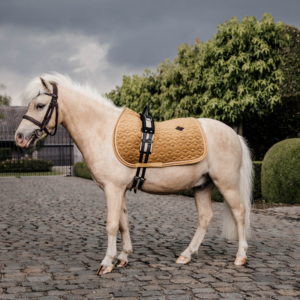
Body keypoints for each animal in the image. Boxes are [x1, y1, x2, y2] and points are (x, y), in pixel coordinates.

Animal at [15, 73, 252, 274]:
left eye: (40, 105)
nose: (19, 137)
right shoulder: (119, 189)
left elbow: (111, 225)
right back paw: (186, 255)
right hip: (202, 186)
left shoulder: (113, 189)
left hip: (226, 184)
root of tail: (234, 134)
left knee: (239, 212)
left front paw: (107, 262)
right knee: (205, 218)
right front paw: (123, 257)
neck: (102, 131)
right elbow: (123, 223)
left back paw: (240, 256)